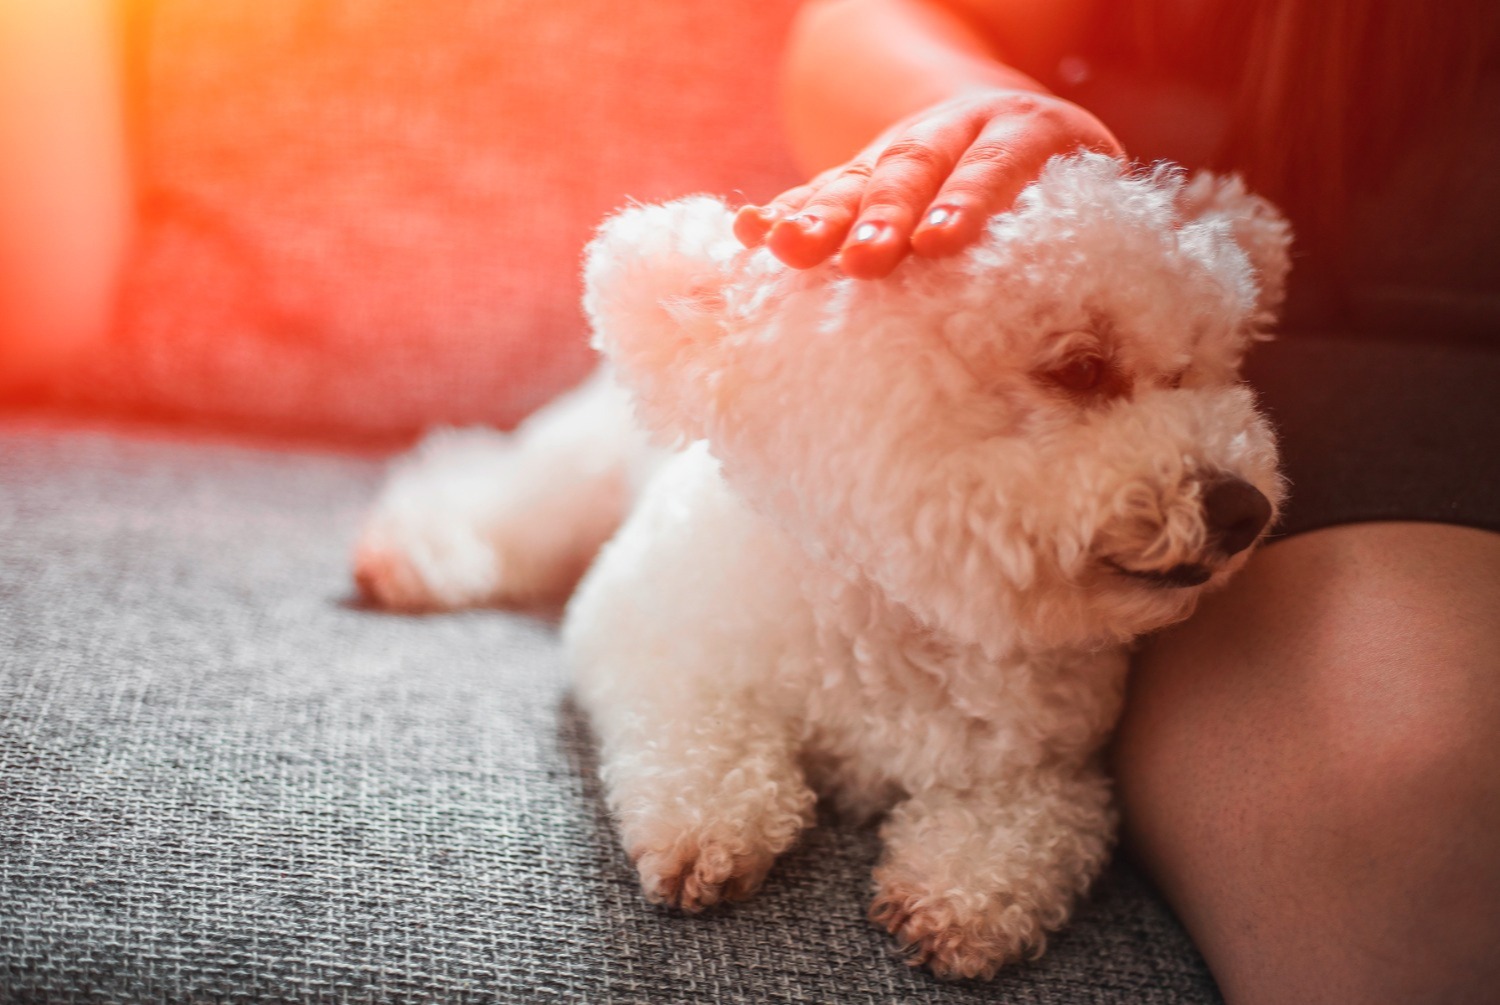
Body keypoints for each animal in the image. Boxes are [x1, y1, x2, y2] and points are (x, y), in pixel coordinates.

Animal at [351, 157, 1290, 984]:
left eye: (1202, 372)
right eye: (1082, 366)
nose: (1244, 508)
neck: (894, 619)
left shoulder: (1051, 766)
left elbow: (1032, 822)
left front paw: (962, 894)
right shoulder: (643, 630)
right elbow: (701, 729)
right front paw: (710, 823)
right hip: (578, 469)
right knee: (501, 496)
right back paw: (413, 549)